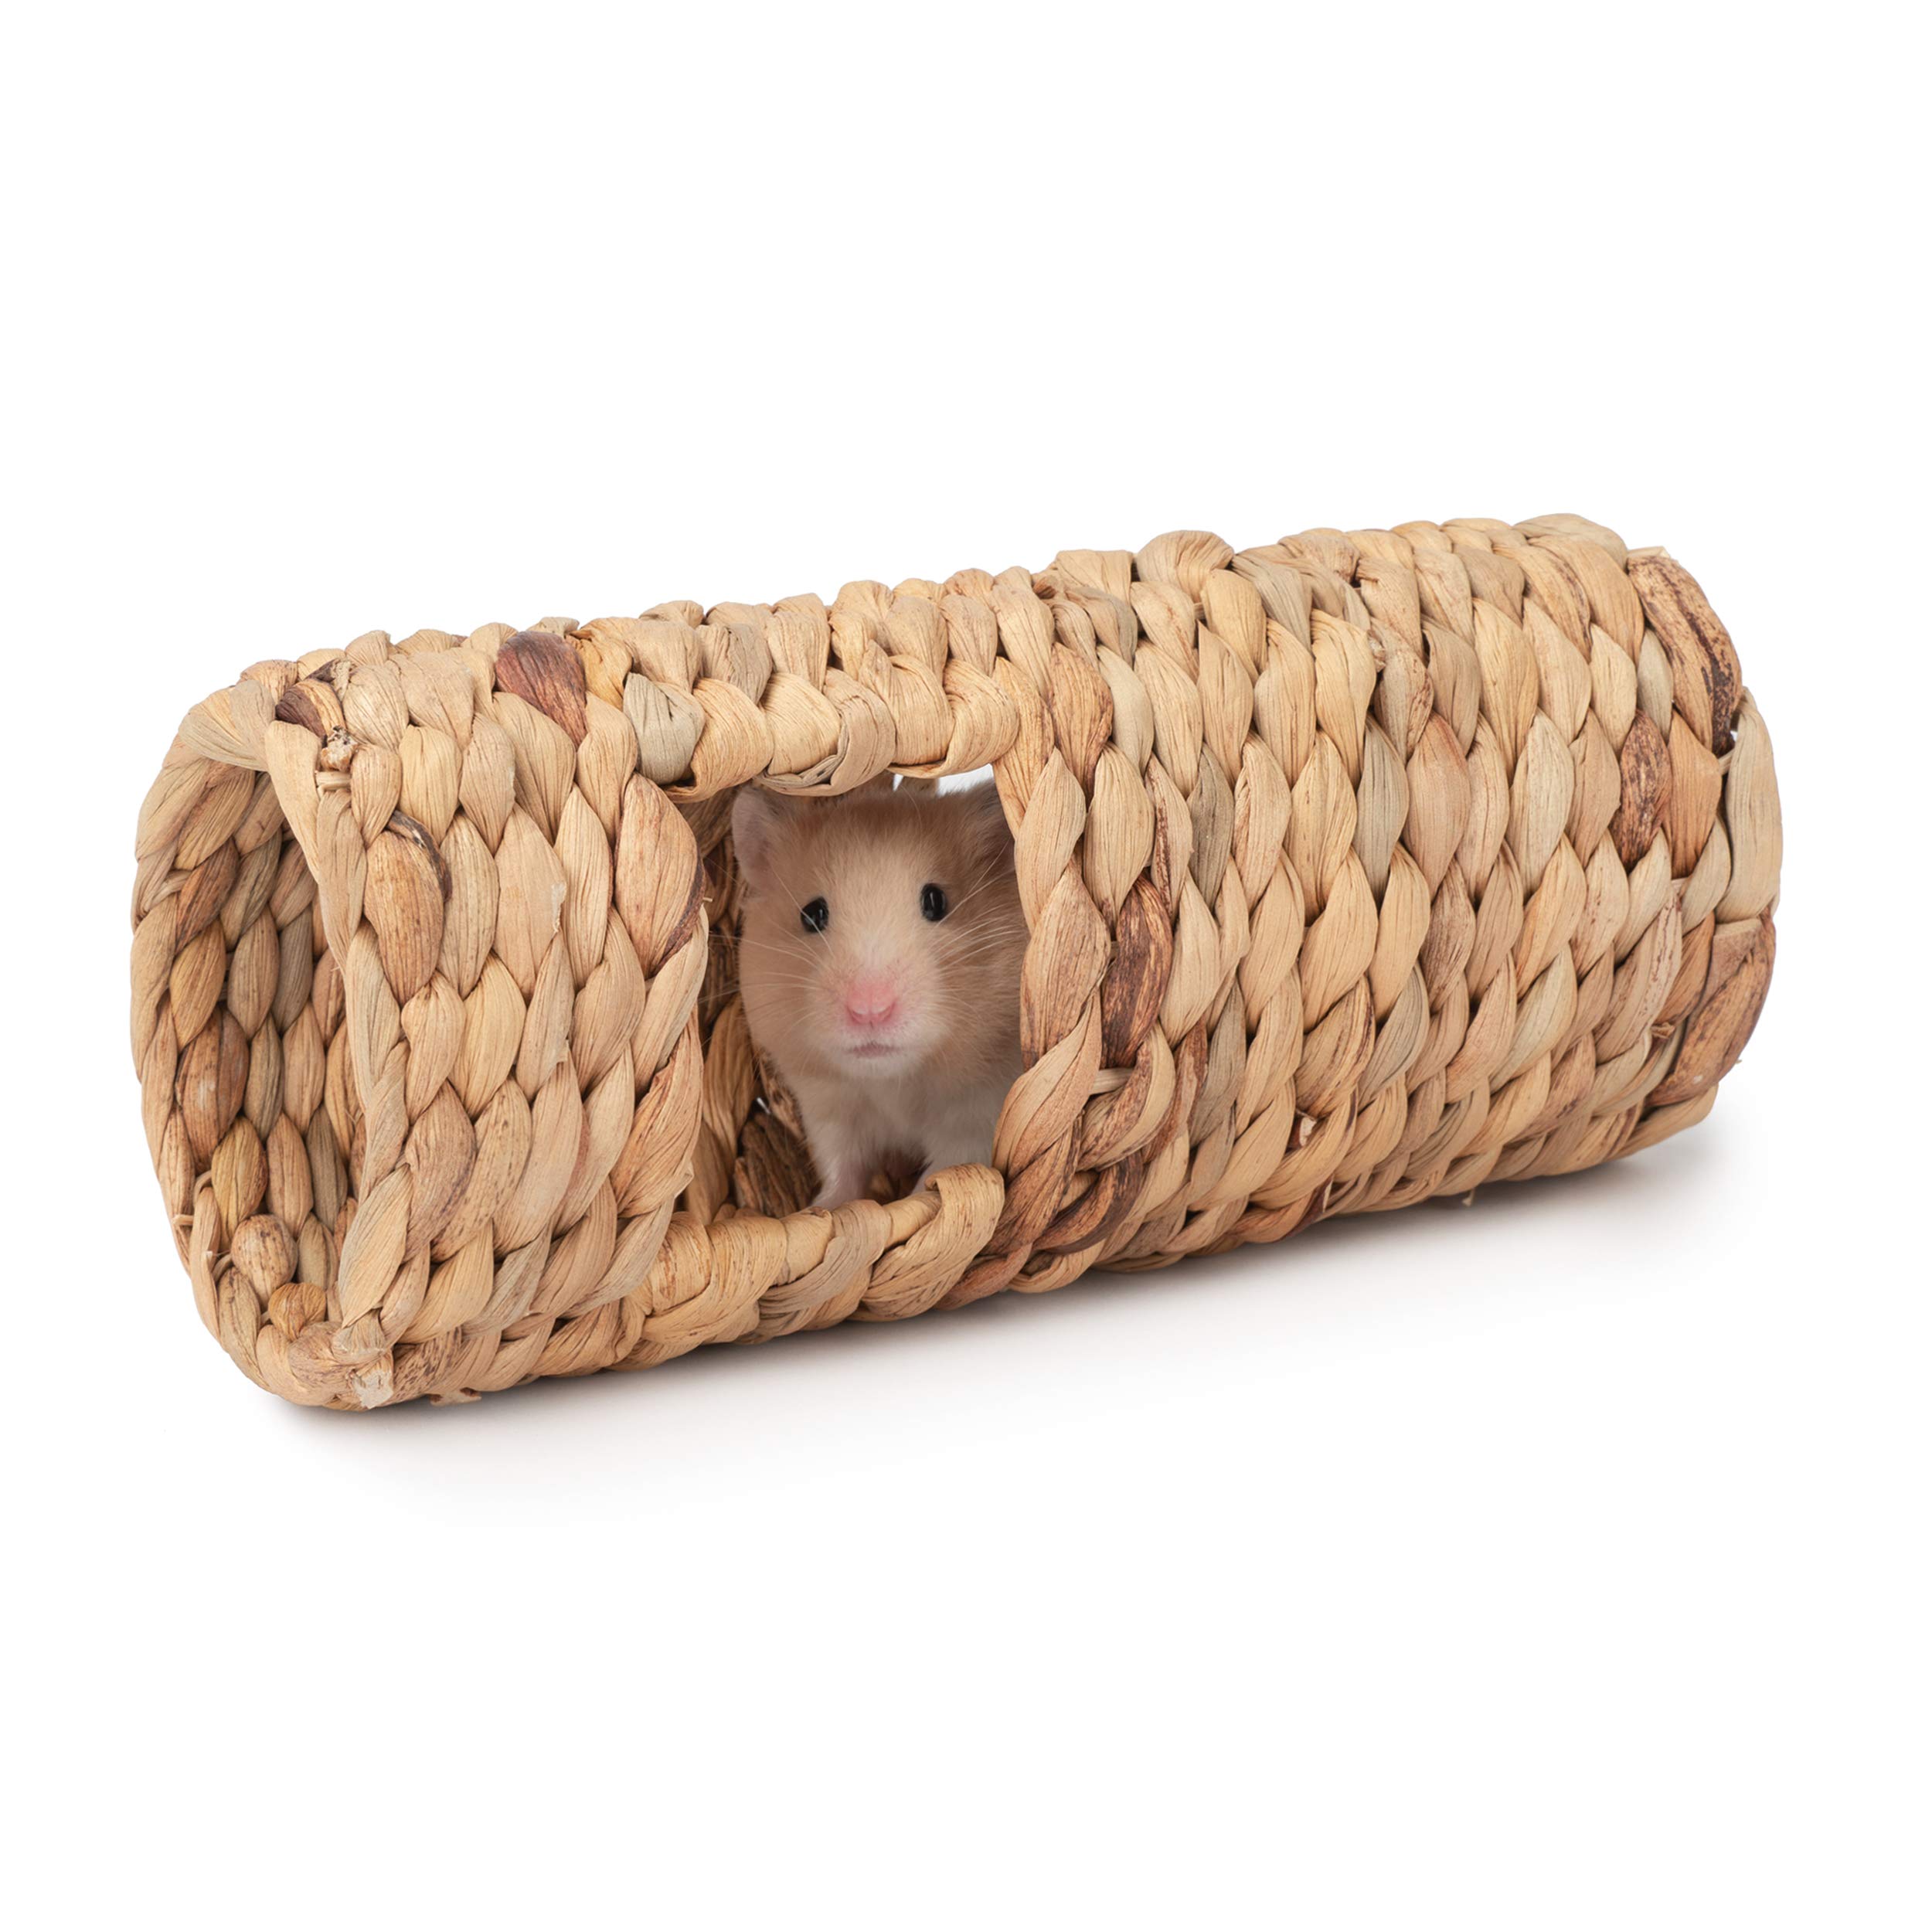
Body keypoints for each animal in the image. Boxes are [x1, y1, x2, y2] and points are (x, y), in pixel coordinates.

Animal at [731, 778, 1026, 1209]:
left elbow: (942, 1174)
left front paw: (907, 1208)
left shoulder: (977, 1115)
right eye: (811, 914)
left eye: (937, 901)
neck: (892, 1081)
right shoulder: (830, 1110)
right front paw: (819, 1210)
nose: (870, 1011)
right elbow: (843, 1168)